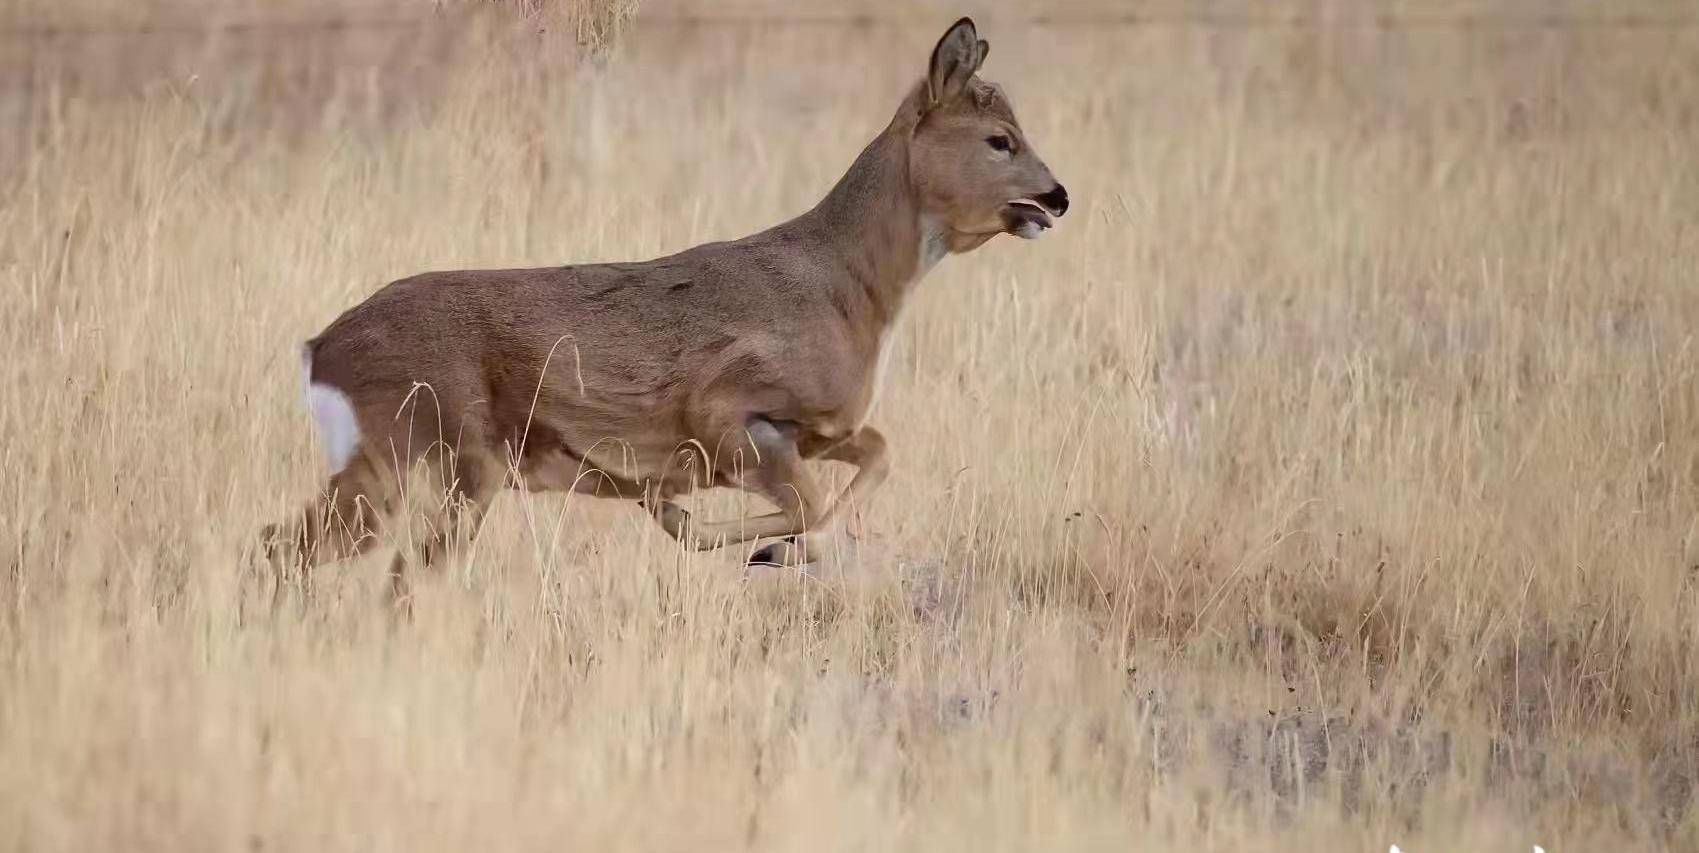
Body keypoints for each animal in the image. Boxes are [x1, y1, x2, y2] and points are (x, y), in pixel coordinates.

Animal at [259, 16, 1066, 598]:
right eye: (999, 140)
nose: (1057, 196)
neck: (854, 292)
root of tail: (318, 349)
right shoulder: (727, 409)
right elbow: (805, 504)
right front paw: (750, 542)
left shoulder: (820, 428)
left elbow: (876, 455)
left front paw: (750, 540)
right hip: (434, 458)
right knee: (353, 565)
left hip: (404, 468)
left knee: (294, 549)